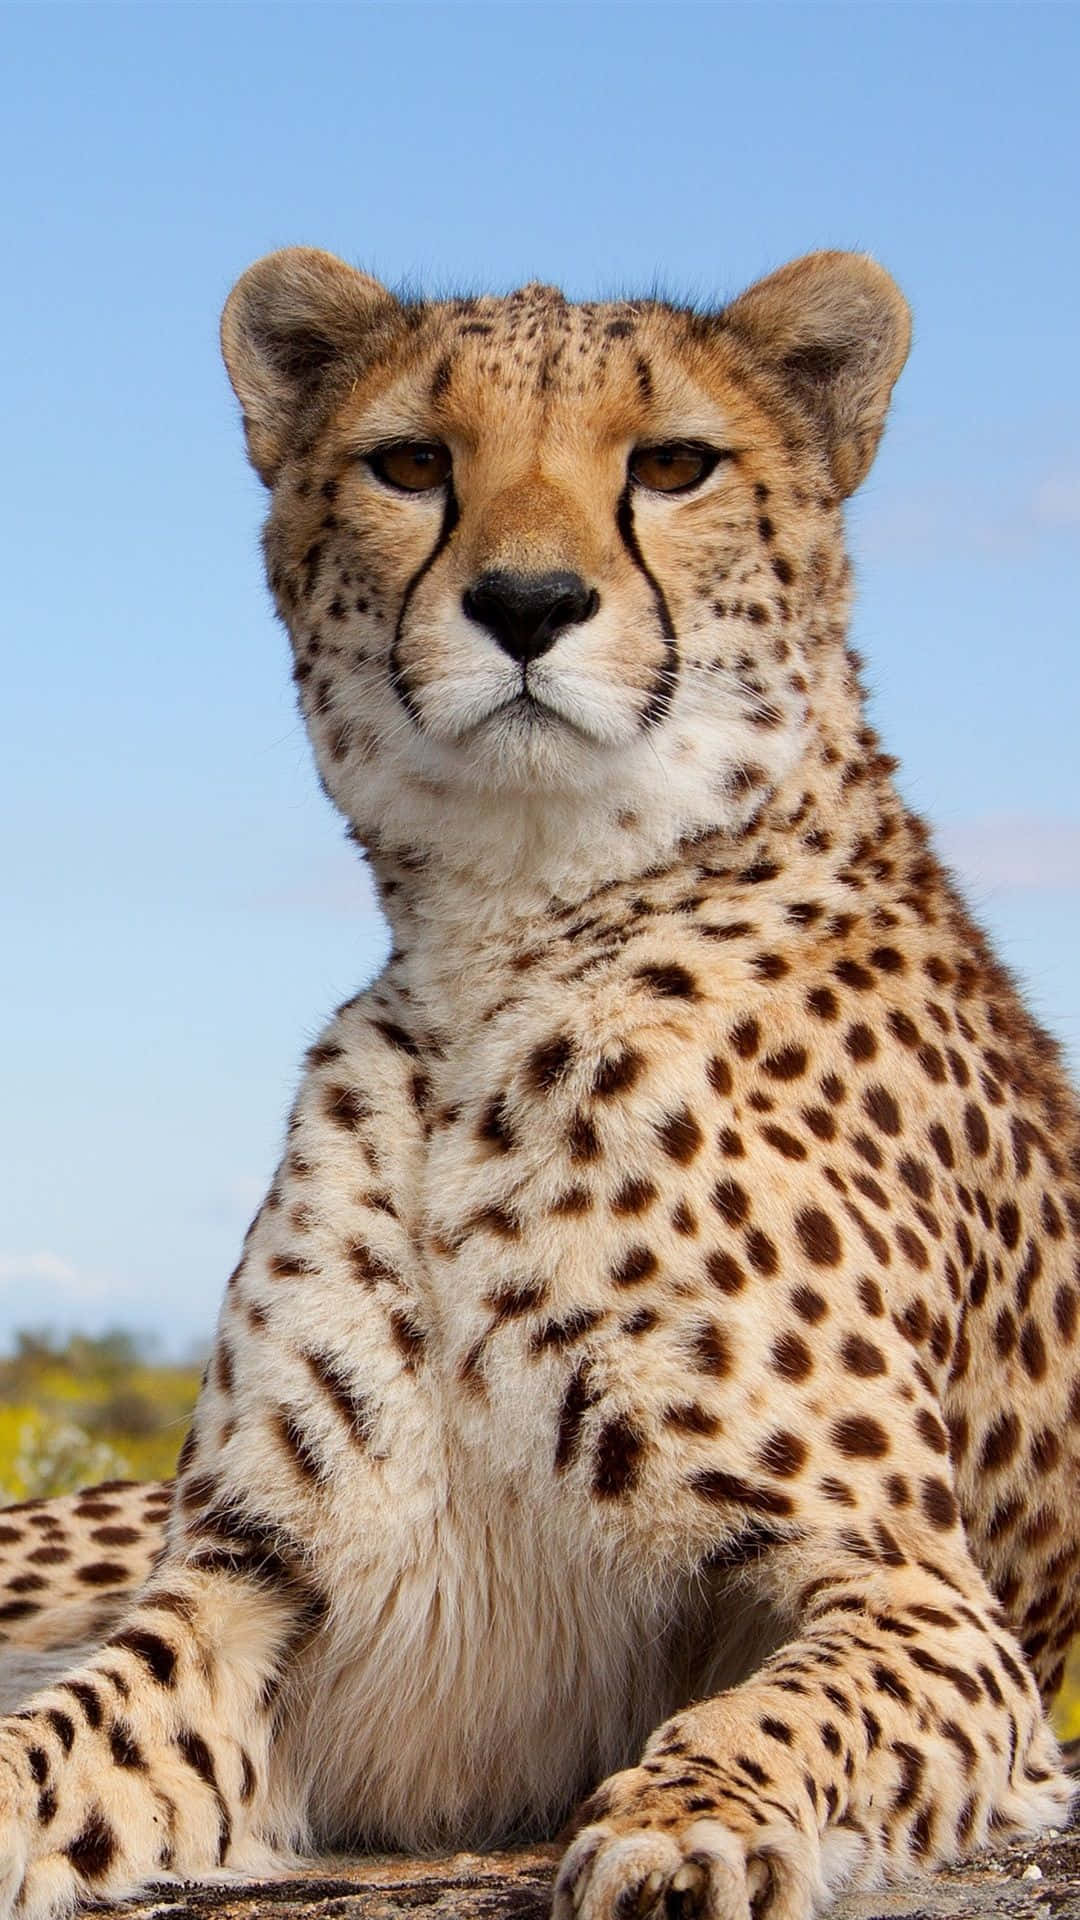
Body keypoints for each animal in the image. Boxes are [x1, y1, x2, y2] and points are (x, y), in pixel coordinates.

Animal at [1, 243, 1078, 1920]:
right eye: (412, 465)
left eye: (674, 466)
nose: (526, 604)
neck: (506, 946)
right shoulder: (246, 1590)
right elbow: (48, 1742)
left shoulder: (923, 1601)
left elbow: (783, 1706)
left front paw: (688, 1821)